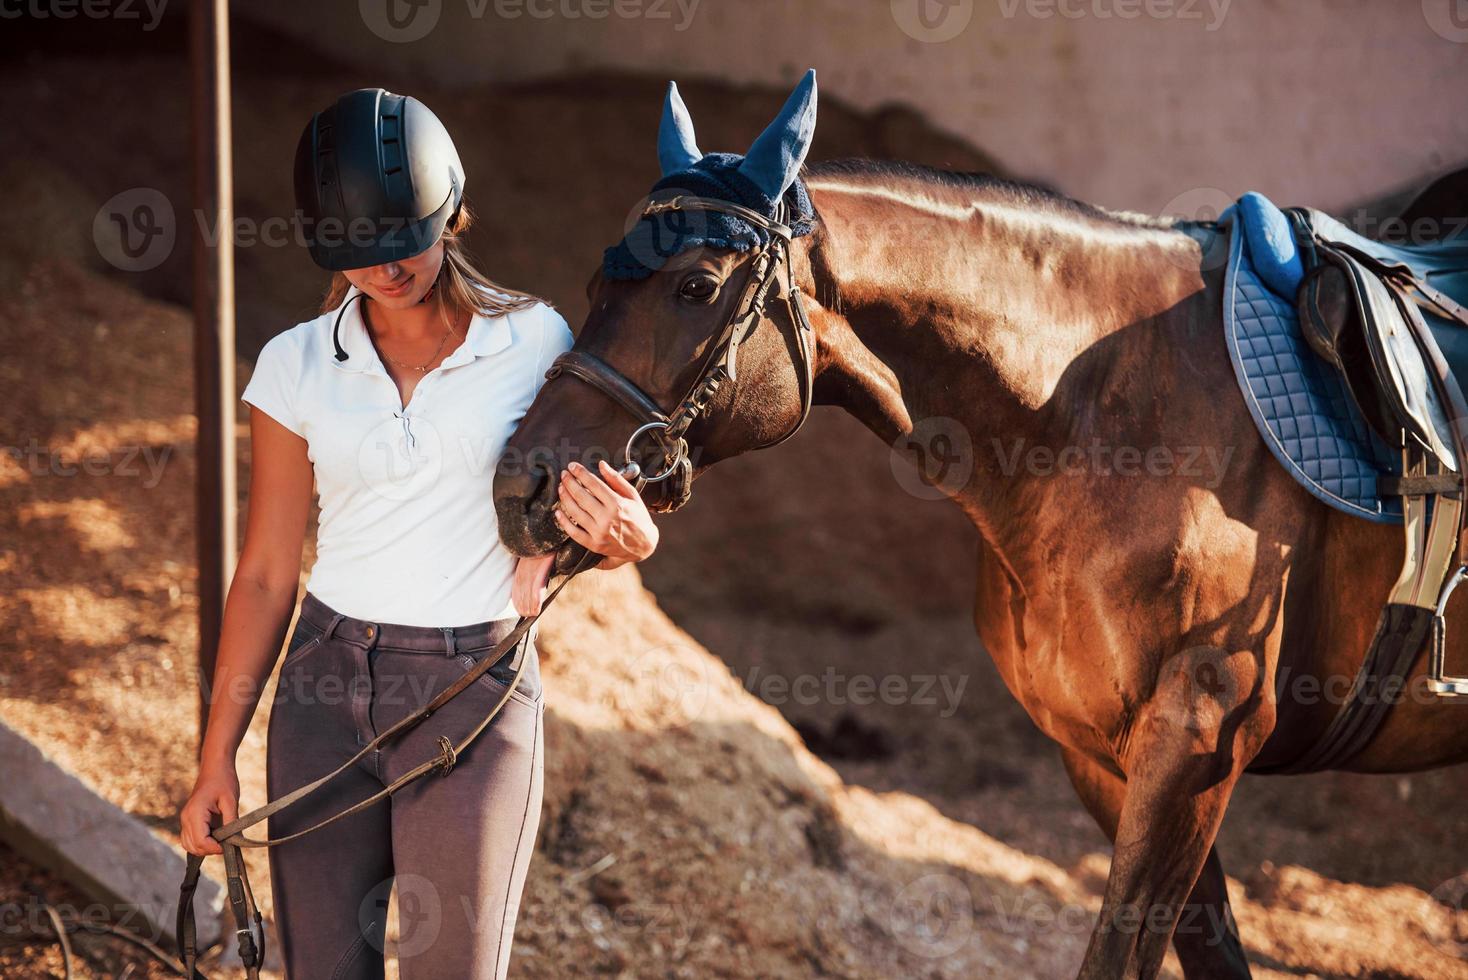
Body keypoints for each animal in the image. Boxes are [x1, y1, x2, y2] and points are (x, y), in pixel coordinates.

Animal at [493, 107, 1468, 979]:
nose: (520, 488)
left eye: (695, 286)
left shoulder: (1197, 742)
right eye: (596, 288)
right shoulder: (1105, 758)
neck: (1109, 414)